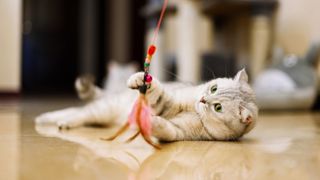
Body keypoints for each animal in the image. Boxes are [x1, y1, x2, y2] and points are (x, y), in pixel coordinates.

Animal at [36, 68, 258, 141]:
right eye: (213, 88)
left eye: (218, 107)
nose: (203, 99)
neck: (193, 109)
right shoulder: (169, 101)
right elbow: (159, 94)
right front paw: (141, 79)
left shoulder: (177, 131)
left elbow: (166, 129)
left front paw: (154, 123)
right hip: (102, 110)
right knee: (78, 112)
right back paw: (51, 120)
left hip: (102, 114)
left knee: (78, 112)